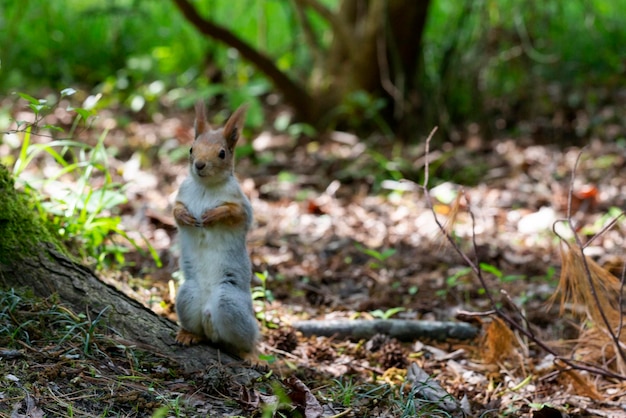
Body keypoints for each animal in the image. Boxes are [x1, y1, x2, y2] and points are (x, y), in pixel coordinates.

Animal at [172, 100, 258, 356]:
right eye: (191, 149)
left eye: (222, 153)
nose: (199, 165)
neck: (204, 187)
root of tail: (207, 313)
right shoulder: (181, 194)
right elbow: (174, 212)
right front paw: (185, 216)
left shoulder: (242, 204)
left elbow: (236, 214)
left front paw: (212, 215)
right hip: (188, 295)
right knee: (200, 330)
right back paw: (189, 334)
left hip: (229, 303)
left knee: (245, 341)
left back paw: (250, 353)